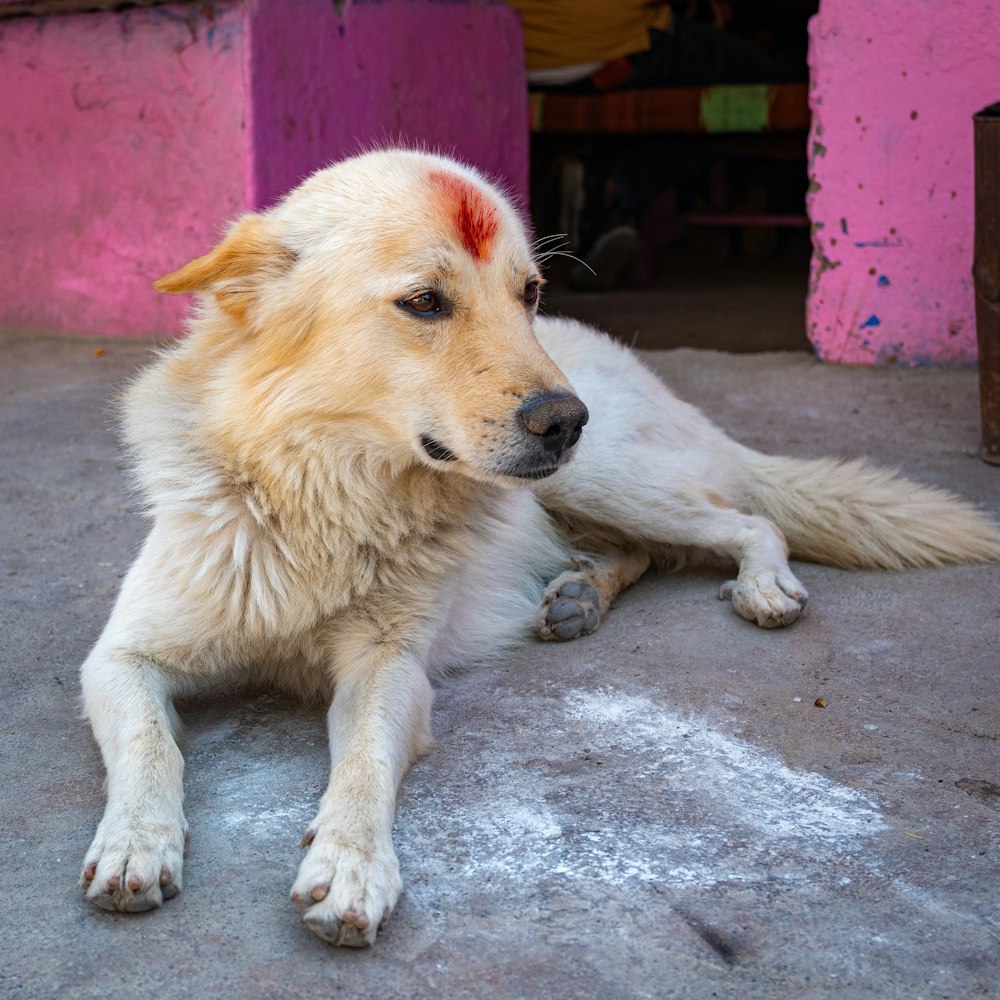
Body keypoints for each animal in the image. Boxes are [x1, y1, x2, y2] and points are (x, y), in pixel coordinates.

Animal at [80, 146, 1000, 944]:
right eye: (425, 302)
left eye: (528, 292)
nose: (567, 420)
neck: (329, 494)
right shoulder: (121, 656)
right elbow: (149, 743)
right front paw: (136, 842)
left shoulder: (389, 670)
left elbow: (364, 766)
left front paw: (351, 865)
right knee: (644, 550)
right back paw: (579, 595)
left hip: (605, 481)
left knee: (746, 521)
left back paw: (758, 587)